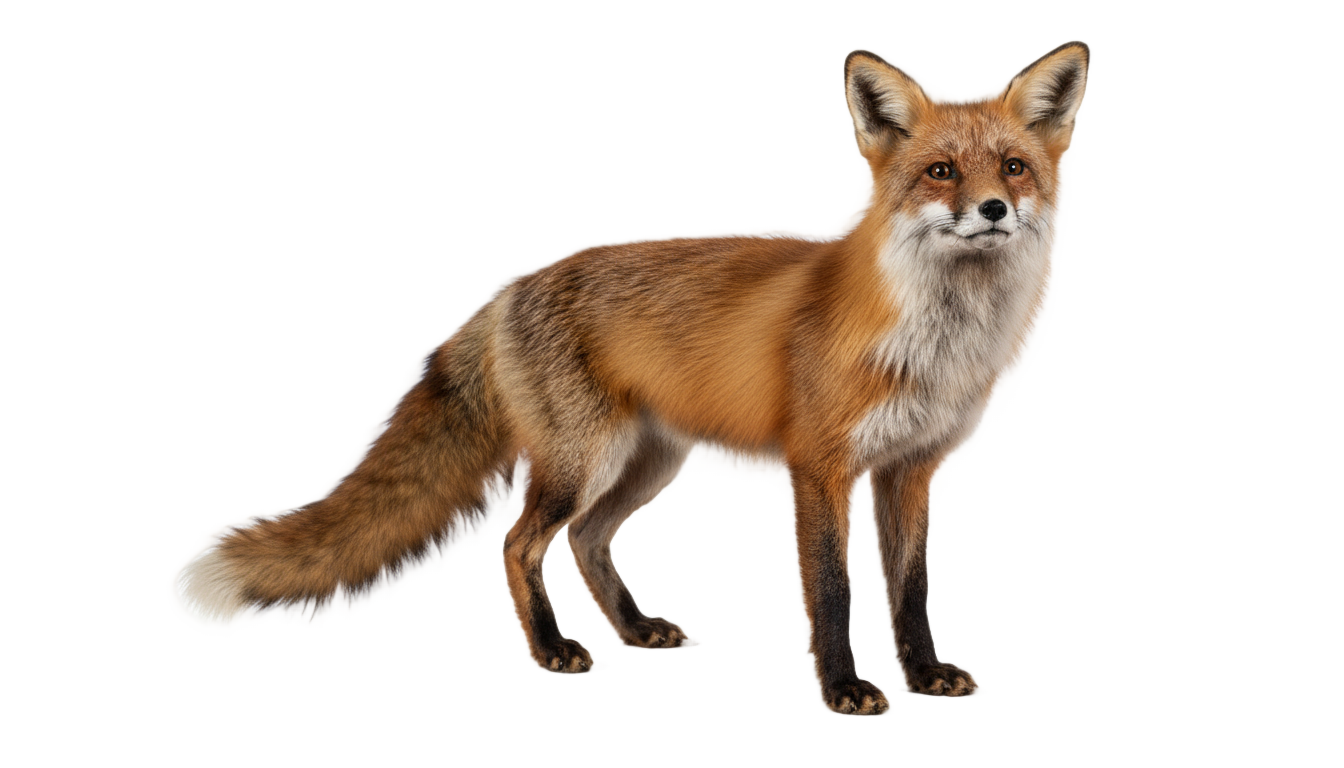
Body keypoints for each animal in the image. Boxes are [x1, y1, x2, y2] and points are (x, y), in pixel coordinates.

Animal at [179, 43, 1089, 713]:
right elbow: (831, 590)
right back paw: (553, 648)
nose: (994, 211)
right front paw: (843, 690)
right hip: (583, 462)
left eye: (1012, 167)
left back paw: (637, 629)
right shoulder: (818, 467)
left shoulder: (910, 468)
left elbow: (909, 589)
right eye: (941, 173)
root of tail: (507, 292)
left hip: (647, 461)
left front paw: (926, 676)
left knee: (585, 540)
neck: (935, 341)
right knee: (517, 544)